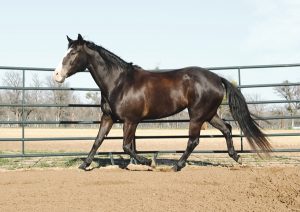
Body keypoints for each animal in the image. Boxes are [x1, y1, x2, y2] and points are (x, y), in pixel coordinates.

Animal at [52, 33, 272, 172]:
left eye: (73, 53)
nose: (57, 75)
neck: (119, 82)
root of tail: (217, 78)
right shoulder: (108, 118)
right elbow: (98, 141)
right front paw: (84, 165)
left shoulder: (131, 121)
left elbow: (127, 146)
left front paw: (149, 162)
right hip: (209, 114)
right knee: (226, 128)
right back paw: (237, 158)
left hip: (197, 116)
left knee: (193, 141)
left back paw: (176, 166)